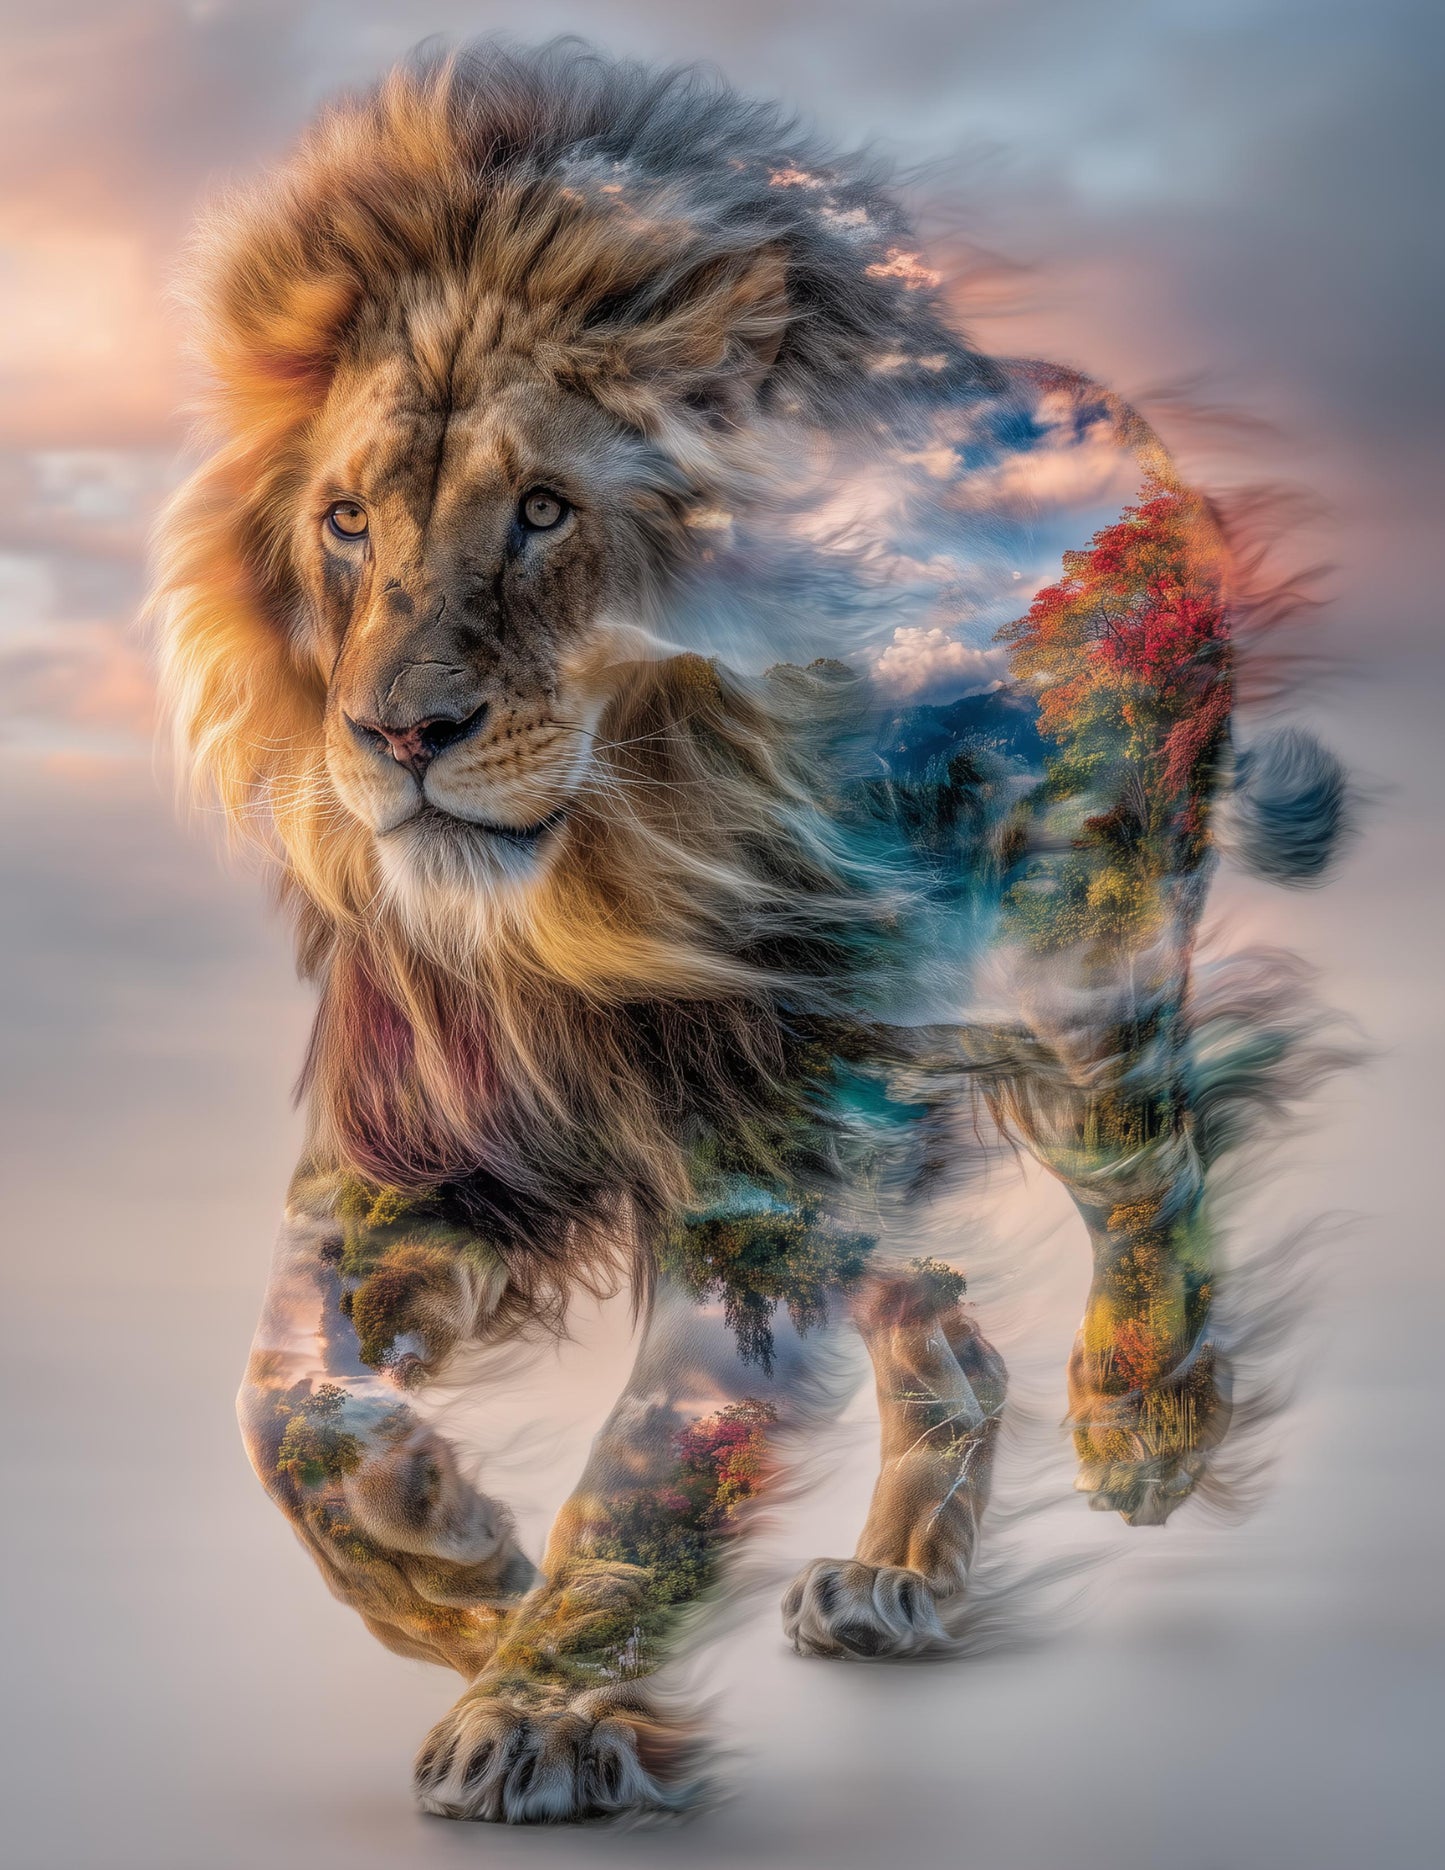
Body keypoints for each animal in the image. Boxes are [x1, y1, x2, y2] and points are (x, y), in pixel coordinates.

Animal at [150, 39, 1347, 1824]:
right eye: (350, 521)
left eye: (545, 512)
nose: (399, 734)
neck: (599, 904)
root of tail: (1128, 427)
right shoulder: (428, 1136)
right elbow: (281, 1403)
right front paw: (459, 1571)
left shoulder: (764, 1161)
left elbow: (657, 1456)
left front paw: (539, 1710)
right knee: (949, 1337)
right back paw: (898, 1579)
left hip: (1080, 959)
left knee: (1153, 1164)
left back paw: (1145, 1417)